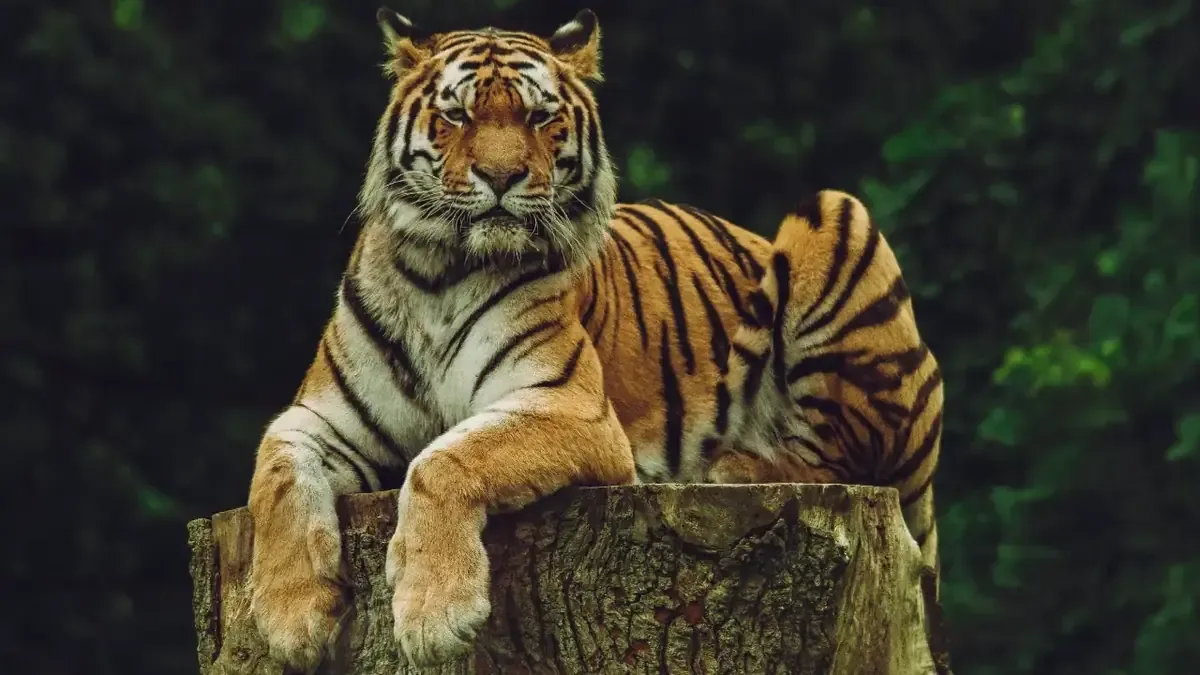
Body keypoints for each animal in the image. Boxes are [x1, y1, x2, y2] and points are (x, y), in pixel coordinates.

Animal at [245, 6, 944, 671]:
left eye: (539, 116)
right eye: (457, 114)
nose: (501, 176)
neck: (439, 275)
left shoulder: (569, 406)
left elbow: (444, 459)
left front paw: (435, 615)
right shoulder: (321, 417)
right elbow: (275, 478)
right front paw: (289, 620)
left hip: (836, 214)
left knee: (842, 456)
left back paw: (733, 465)